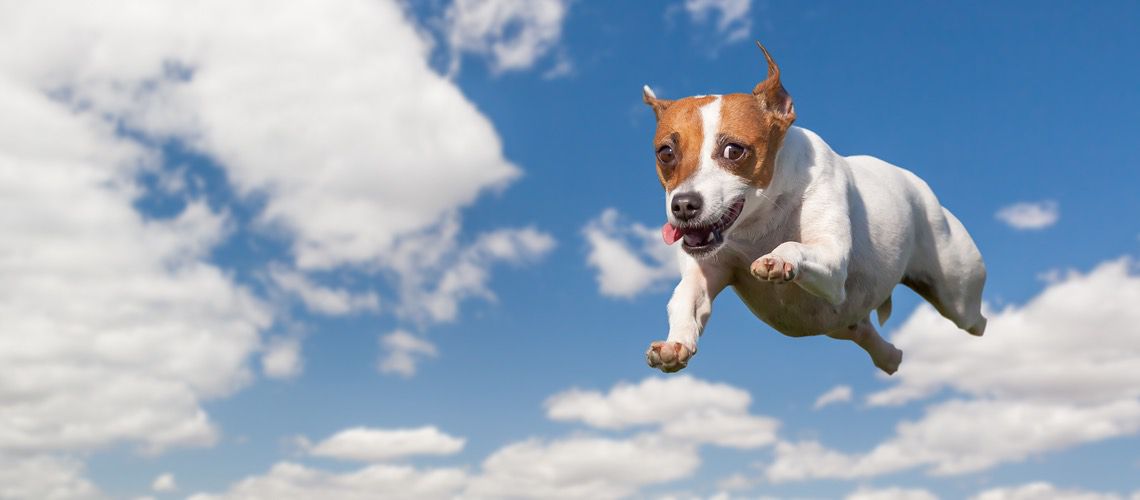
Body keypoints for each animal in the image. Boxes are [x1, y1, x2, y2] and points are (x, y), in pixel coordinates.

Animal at [647, 42, 984, 373]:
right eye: (665, 153)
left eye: (734, 150)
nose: (683, 205)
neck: (760, 222)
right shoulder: (707, 270)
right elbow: (686, 298)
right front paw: (674, 345)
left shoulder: (832, 263)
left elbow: (795, 246)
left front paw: (779, 258)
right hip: (842, 321)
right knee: (865, 332)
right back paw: (889, 357)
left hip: (959, 296)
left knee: (975, 321)